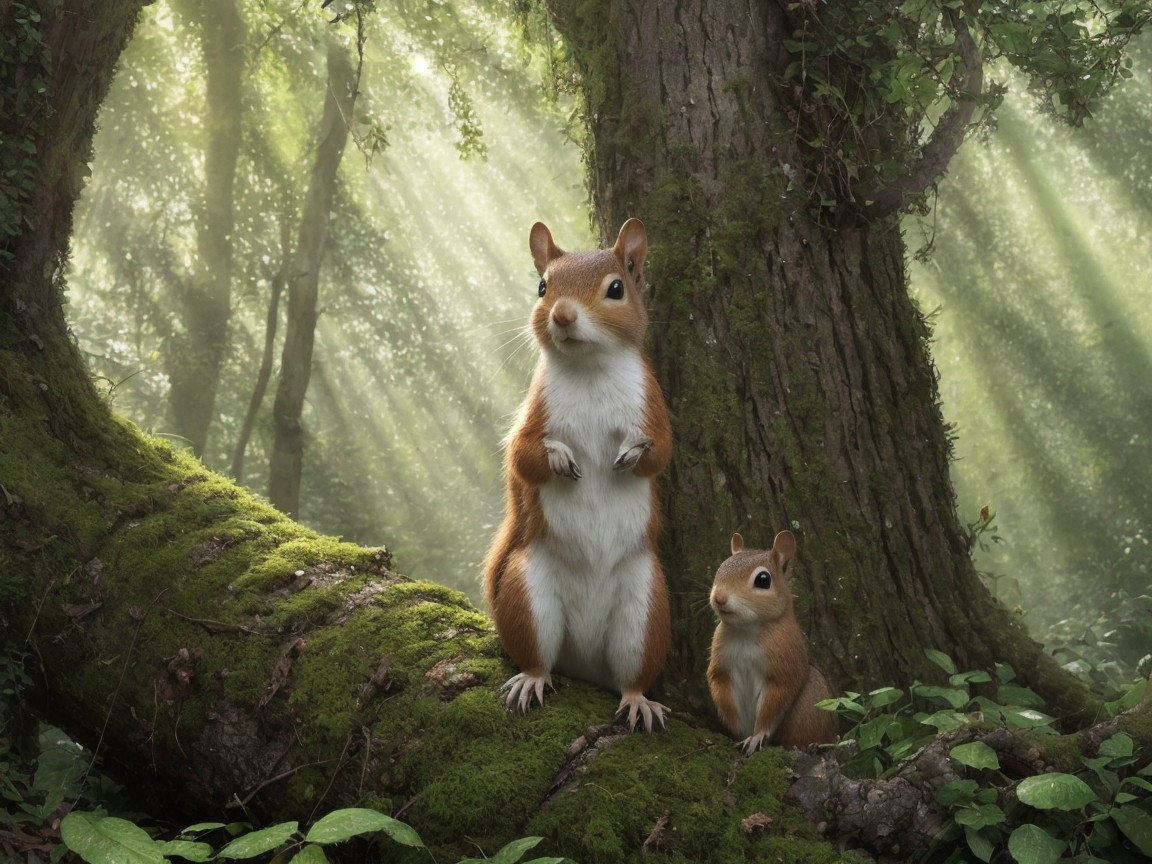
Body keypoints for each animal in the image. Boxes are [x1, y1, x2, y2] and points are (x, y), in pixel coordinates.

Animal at [482, 218, 673, 732]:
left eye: (616, 288)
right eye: (543, 287)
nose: (563, 316)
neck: (589, 369)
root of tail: (586, 663)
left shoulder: (653, 408)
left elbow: (661, 454)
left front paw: (632, 454)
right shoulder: (535, 414)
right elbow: (523, 457)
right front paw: (558, 459)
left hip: (645, 609)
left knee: (632, 673)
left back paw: (638, 700)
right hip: (528, 591)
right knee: (537, 657)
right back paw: (532, 679)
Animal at [706, 530, 837, 753]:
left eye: (763, 579)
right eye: (721, 568)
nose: (719, 598)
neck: (746, 631)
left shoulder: (782, 664)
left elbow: (773, 703)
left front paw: (757, 736)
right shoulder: (722, 664)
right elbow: (721, 688)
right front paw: (738, 731)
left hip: (811, 705)